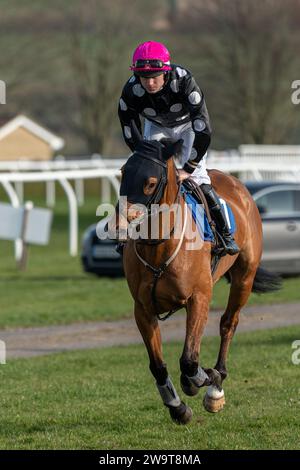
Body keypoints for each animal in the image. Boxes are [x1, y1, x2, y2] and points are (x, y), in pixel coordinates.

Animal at [116, 125, 282, 426]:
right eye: (123, 172)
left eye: (150, 182)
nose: (121, 223)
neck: (159, 246)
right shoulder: (143, 309)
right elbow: (158, 365)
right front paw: (177, 406)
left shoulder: (199, 298)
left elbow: (189, 360)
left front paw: (203, 380)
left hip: (244, 277)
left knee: (229, 323)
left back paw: (216, 386)